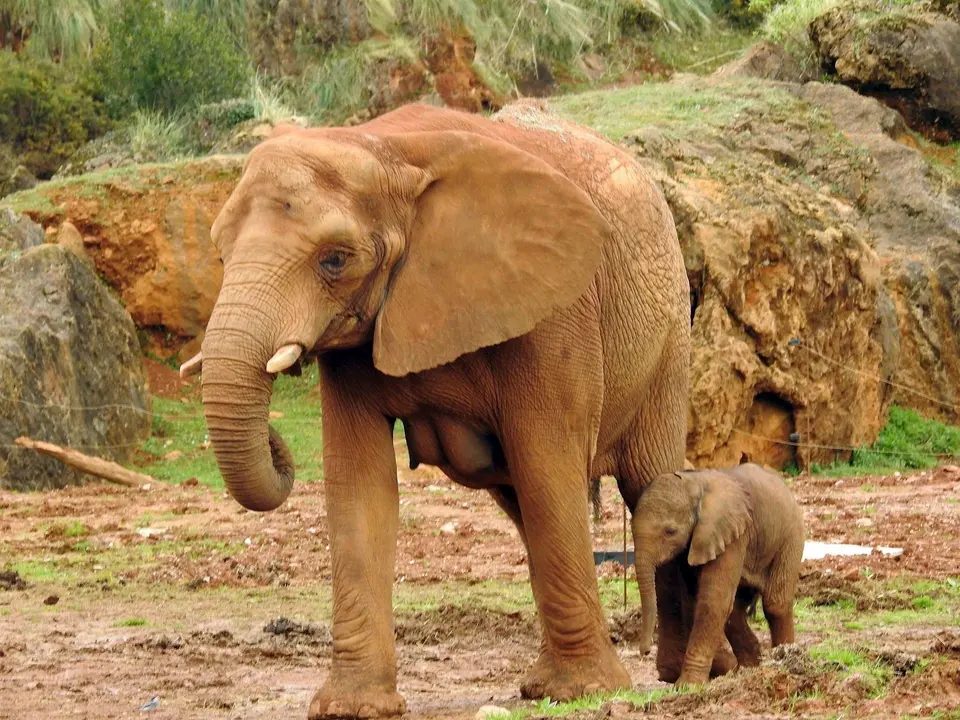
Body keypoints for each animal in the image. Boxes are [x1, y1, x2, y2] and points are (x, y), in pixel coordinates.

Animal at [181, 100, 691, 719]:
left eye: (334, 260)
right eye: (221, 253)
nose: (278, 443)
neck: (382, 148)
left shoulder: (555, 312)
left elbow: (547, 465)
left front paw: (588, 691)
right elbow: (360, 488)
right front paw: (352, 708)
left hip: (669, 335)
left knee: (646, 485)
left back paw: (692, 674)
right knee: (524, 507)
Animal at [631, 463, 805, 687]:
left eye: (670, 532)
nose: (645, 651)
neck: (695, 484)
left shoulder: (731, 533)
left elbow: (712, 600)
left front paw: (688, 685)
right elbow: (694, 600)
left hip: (791, 536)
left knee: (776, 604)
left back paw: (786, 660)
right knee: (735, 611)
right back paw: (748, 670)